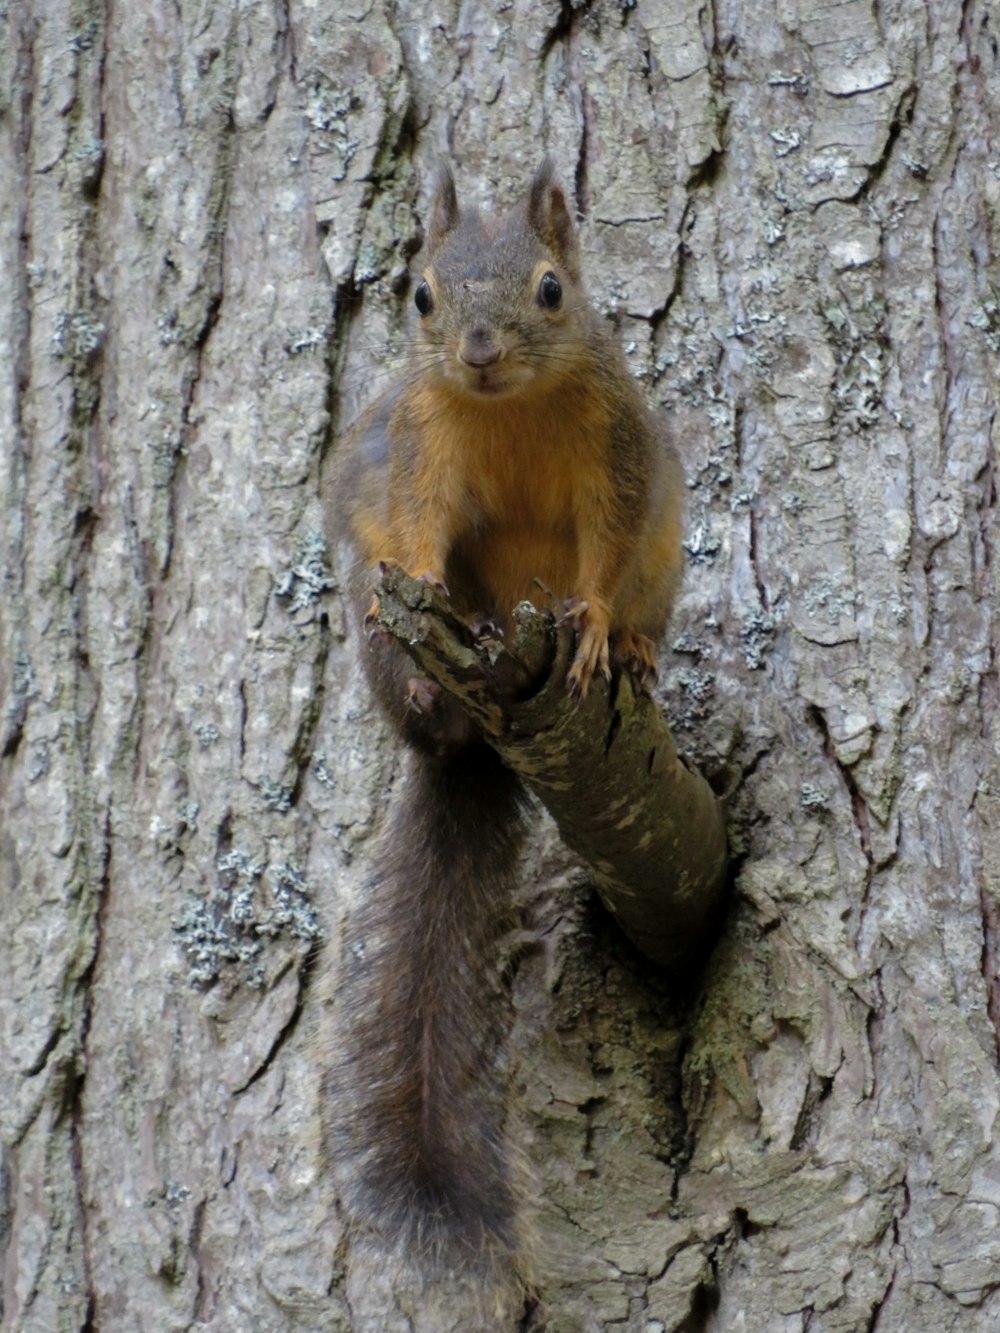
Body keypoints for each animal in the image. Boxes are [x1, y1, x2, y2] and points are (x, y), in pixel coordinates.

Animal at [325, 161, 688, 1285]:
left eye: (550, 291)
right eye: (421, 297)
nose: (478, 353)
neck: (507, 409)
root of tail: (466, 749)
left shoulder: (617, 458)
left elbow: (605, 552)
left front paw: (596, 628)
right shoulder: (416, 453)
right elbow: (414, 527)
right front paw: (432, 584)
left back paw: (634, 652)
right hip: (379, 632)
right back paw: (427, 683)